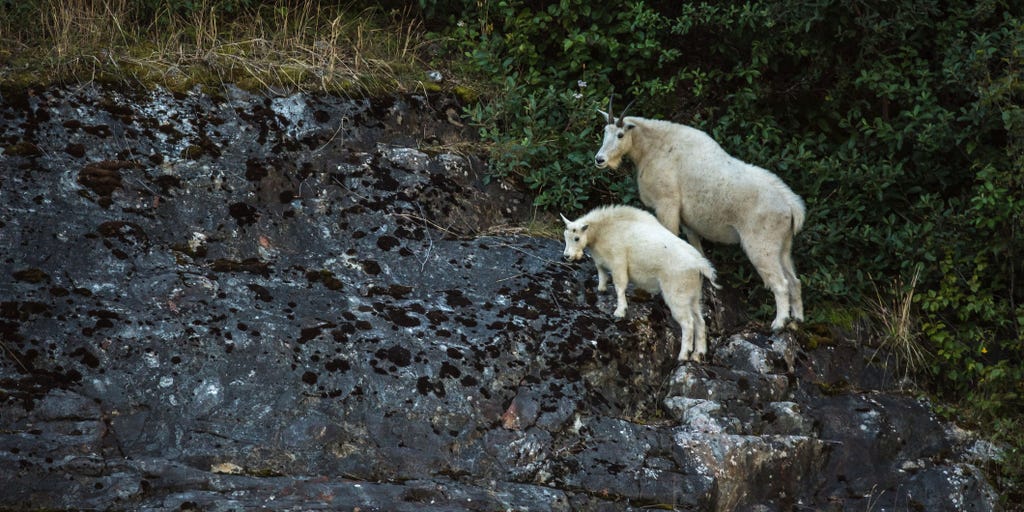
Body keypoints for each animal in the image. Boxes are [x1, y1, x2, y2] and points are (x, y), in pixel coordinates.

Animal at [561, 205, 717, 362]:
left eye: (576, 238)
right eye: (565, 236)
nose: (567, 256)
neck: (601, 231)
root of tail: (700, 265)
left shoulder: (618, 261)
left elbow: (619, 285)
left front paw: (620, 311)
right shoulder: (601, 261)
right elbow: (602, 273)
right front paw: (601, 289)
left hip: (677, 296)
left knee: (688, 323)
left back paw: (683, 355)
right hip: (693, 295)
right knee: (700, 321)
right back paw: (698, 354)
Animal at [594, 98, 805, 331]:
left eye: (621, 134)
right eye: (605, 131)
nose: (599, 159)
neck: (652, 148)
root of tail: (792, 206)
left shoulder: (666, 204)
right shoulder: (688, 222)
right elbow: (697, 251)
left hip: (761, 246)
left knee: (780, 283)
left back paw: (779, 323)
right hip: (783, 247)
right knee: (794, 280)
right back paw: (797, 320)